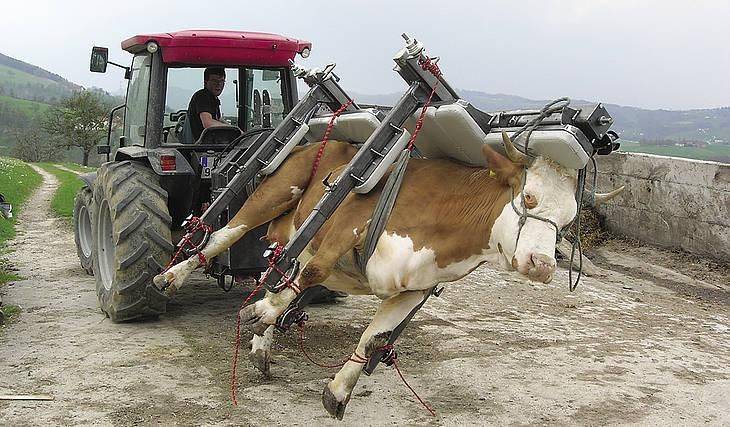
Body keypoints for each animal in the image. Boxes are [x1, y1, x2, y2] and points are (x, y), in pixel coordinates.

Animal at [153, 133, 621, 419]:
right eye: (529, 197)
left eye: (569, 220)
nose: (543, 264)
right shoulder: (348, 222)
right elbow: (313, 270)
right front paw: (261, 311)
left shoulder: (415, 288)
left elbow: (374, 337)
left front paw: (338, 391)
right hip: (276, 191)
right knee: (224, 236)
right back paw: (171, 279)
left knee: (283, 266)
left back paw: (261, 345)